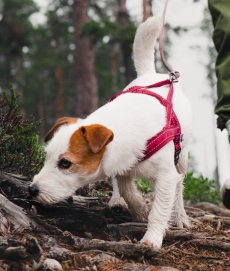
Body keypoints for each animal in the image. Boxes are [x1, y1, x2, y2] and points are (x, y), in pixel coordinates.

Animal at [29, 16, 194, 251]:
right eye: (46, 157)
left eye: (65, 163)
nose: (32, 190)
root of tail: (152, 75)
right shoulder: (124, 166)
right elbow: (127, 189)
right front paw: (138, 209)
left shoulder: (165, 175)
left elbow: (161, 206)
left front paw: (151, 238)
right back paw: (117, 201)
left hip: (182, 156)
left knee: (179, 187)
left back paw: (180, 216)